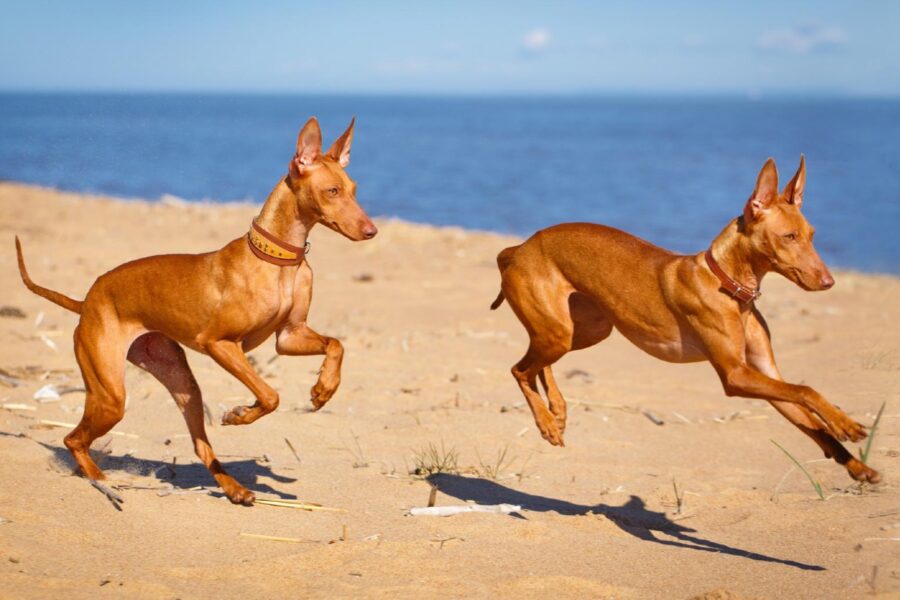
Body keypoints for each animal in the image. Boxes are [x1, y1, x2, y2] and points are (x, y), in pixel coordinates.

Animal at [17, 116, 376, 502]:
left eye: (354, 189)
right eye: (332, 191)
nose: (372, 230)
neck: (279, 260)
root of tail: (86, 302)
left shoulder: (289, 337)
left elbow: (336, 345)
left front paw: (324, 388)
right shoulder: (218, 343)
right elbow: (270, 395)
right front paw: (239, 414)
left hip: (182, 382)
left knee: (199, 445)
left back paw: (233, 488)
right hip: (110, 393)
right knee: (72, 438)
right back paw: (101, 480)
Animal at [492, 156, 880, 482]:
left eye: (812, 235)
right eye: (789, 236)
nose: (829, 282)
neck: (729, 286)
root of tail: (520, 247)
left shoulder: (765, 372)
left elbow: (808, 416)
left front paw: (856, 464)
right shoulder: (736, 375)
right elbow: (806, 389)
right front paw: (846, 424)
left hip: (584, 330)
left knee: (538, 363)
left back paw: (557, 411)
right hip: (559, 332)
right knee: (519, 369)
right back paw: (546, 422)